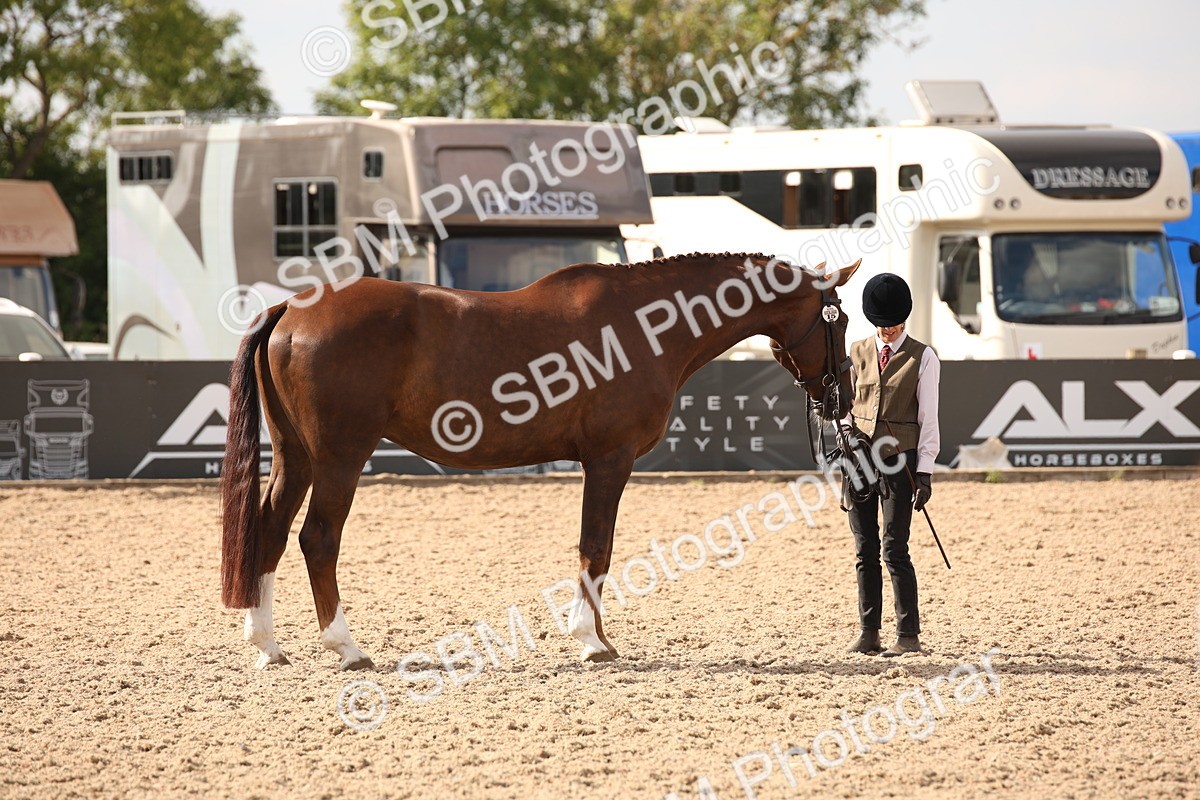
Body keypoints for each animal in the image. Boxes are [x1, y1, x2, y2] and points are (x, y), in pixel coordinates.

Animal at [221, 252, 860, 669]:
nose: (843, 398)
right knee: (318, 538)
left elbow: (595, 549)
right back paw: (347, 649)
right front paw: (591, 641)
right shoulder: (609, 459)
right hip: (340, 457)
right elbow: (596, 546)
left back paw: (268, 645)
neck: (644, 324)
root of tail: (291, 309)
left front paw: (597, 637)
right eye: (841, 318)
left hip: (296, 457)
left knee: (270, 530)